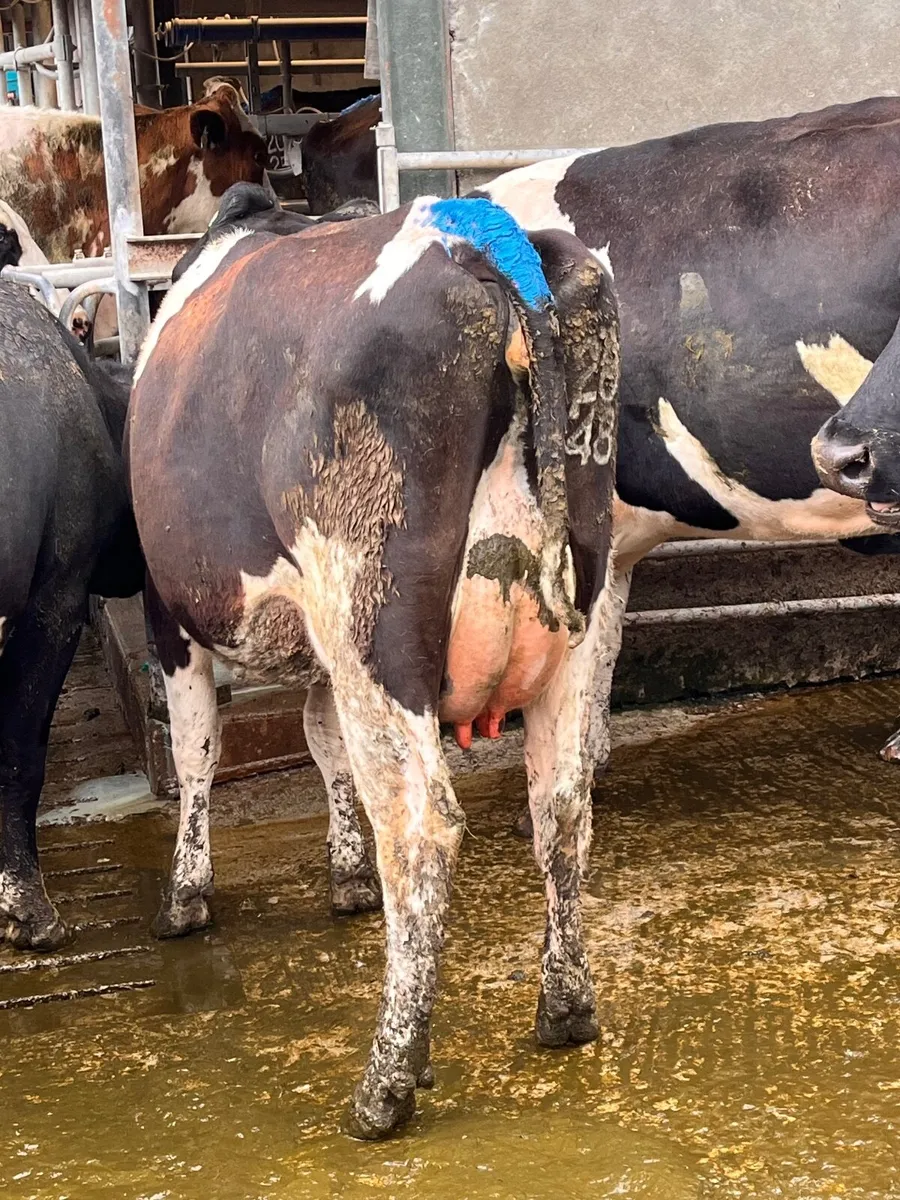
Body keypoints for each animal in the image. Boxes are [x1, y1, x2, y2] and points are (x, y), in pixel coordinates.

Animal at [127, 196, 619, 1137]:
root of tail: (488, 242)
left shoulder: (168, 612)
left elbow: (196, 749)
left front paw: (185, 894)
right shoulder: (317, 649)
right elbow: (321, 743)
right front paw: (346, 872)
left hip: (371, 617)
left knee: (424, 829)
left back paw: (387, 1081)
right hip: (581, 617)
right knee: (562, 805)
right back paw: (566, 1008)